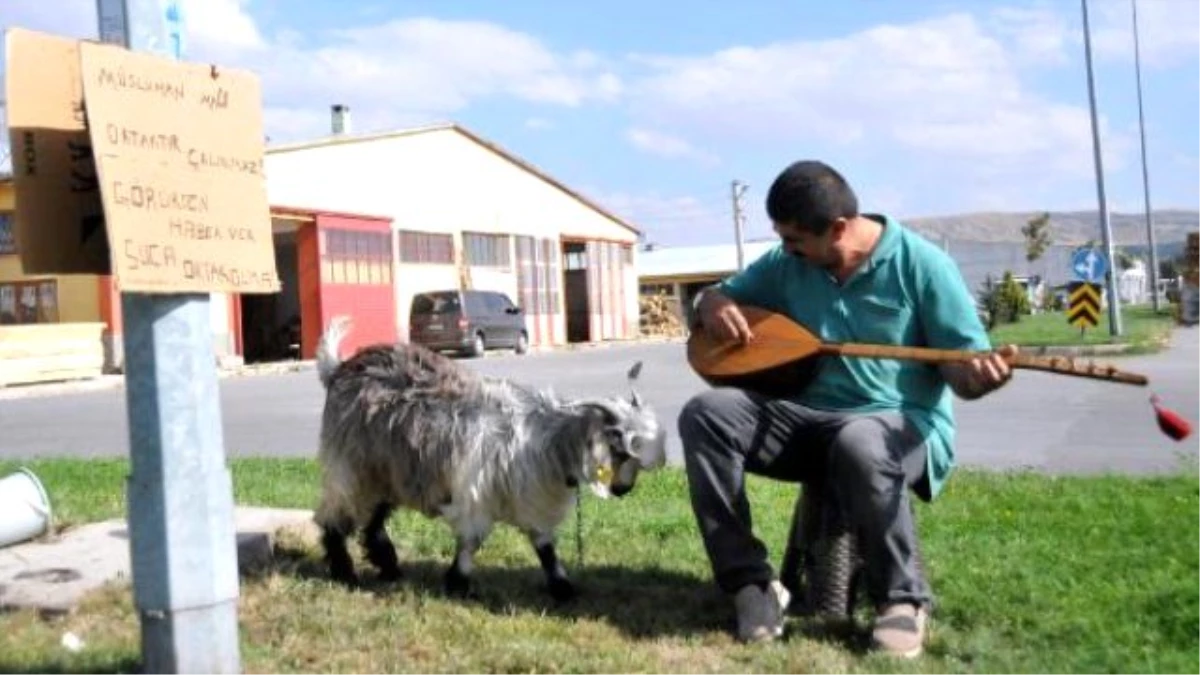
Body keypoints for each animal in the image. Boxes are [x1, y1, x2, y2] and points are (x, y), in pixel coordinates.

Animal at [312, 314, 667, 598]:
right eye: (621, 447)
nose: (623, 490)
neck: (544, 443)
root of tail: (339, 369)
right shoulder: (475, 499)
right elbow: (471, 544)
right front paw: (457, 584)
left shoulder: (531, 502)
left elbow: (545, 548)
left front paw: (562, 588)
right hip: (351, 466)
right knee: (334, 517)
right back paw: (345, 572)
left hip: (388, 470)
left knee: (373, 520)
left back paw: (389, 567)